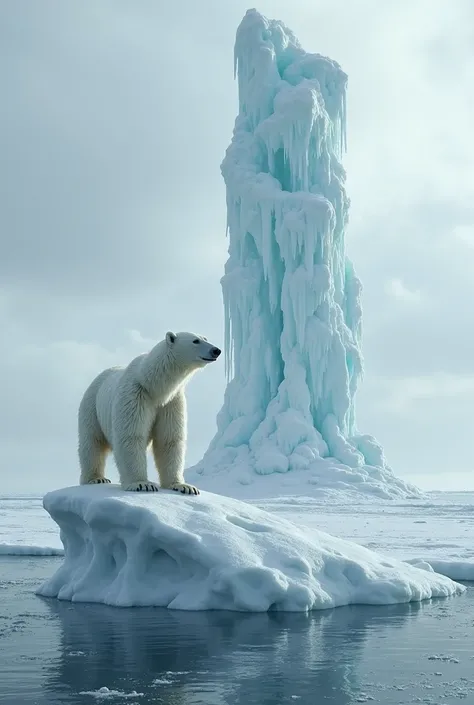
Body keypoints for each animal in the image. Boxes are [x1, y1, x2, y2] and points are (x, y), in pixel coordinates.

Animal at [78, 332, 222, 492]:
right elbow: (131, 436)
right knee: (92, 442)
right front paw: (142, 484)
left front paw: (183, 487)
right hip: (91, 407)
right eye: (195, 341)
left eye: (206, 339)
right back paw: (96, 478)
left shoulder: (171, 403)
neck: (154, 387)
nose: (216, 350)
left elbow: (169, 439)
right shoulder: (135, 395)